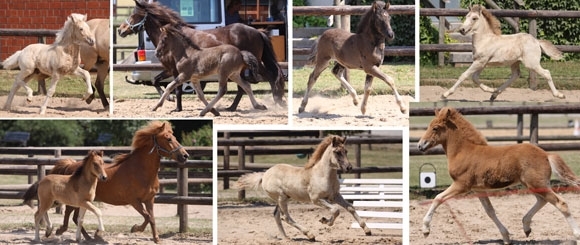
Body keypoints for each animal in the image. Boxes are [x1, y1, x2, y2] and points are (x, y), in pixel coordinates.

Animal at [27, 121, 190, 243]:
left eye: (174, 137)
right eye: (168, 139)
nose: (185, 156)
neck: (140, 170)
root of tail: (71, 164)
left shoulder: (149, 200)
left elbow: (152, 218)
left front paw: (156, 239)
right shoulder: (134, 201)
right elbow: (147, 217)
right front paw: (134, 228)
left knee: (72, 216)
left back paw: (85, 237)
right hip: (72, 200)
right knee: (67, 214)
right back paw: (67, 232)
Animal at [116, 0, 284, 112]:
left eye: (134, 15)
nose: (120, 30)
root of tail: (257, 31)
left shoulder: (176, 70)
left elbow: (175, 87)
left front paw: (175, 107)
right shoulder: (170, 69)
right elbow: (156, 81)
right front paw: (169, 100)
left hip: (253, 62)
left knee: (269, 76)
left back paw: (276, 101)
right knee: (244, 86)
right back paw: (232, 107)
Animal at [236, 136, 372, 241]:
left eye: (346, 151)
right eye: (337, 152)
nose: (349, 168)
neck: (322, 175)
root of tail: (264, 175)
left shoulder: (335, 196)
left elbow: (350, 208)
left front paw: (367, 230)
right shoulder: (316, 199)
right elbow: (335, 210)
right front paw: (324, 221)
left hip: (283, 198)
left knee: (276, 215)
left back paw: (286, 238)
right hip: (281, 198)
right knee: (285, 217)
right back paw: (310, 235)